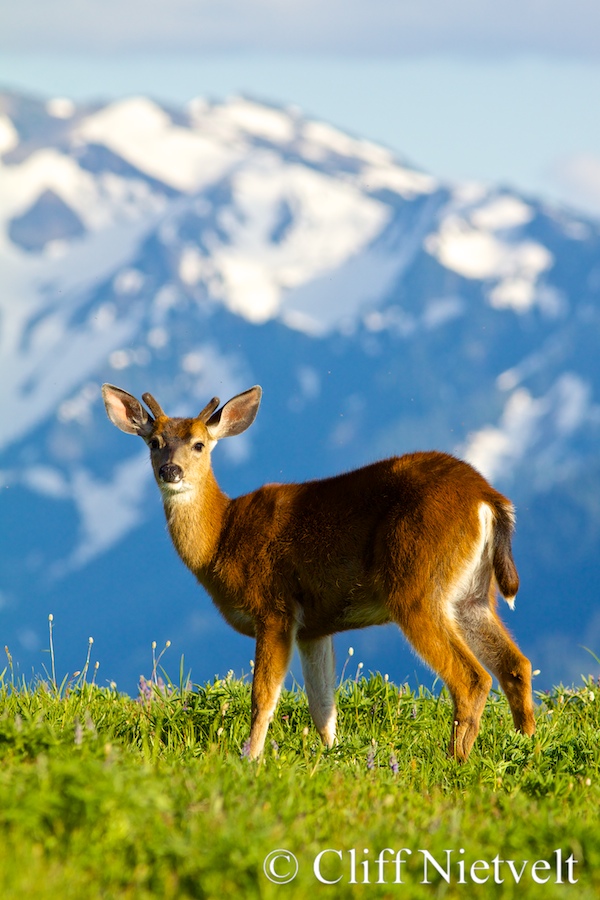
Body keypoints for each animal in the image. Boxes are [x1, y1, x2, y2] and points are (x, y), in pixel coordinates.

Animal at [102, 382, 536, 761]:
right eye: (154, 442)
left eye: (199, 444)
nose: (171, 471)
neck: (222, 538)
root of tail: (487, 498)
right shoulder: (315, 627)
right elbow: (323, 704)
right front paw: (333, 754)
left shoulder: (274, 607)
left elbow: (263, 696)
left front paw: (250, 758)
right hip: (472, 594)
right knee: (516, 665)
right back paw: (525, 746)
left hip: (414, 584)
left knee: (472, 678)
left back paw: (456, 759)